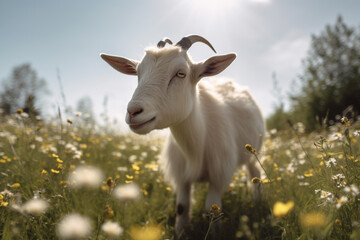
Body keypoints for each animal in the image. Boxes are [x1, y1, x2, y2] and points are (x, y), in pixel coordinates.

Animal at [100, 35, 266, 234]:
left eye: (181, 74)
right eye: (138, 73)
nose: (133, 112)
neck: (195, 145)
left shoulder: (219, 176)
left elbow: (212, 208)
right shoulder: (181, 177)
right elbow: (181, 207)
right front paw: (179, 233)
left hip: (253, 152)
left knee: (254, 174)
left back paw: (257, 202)